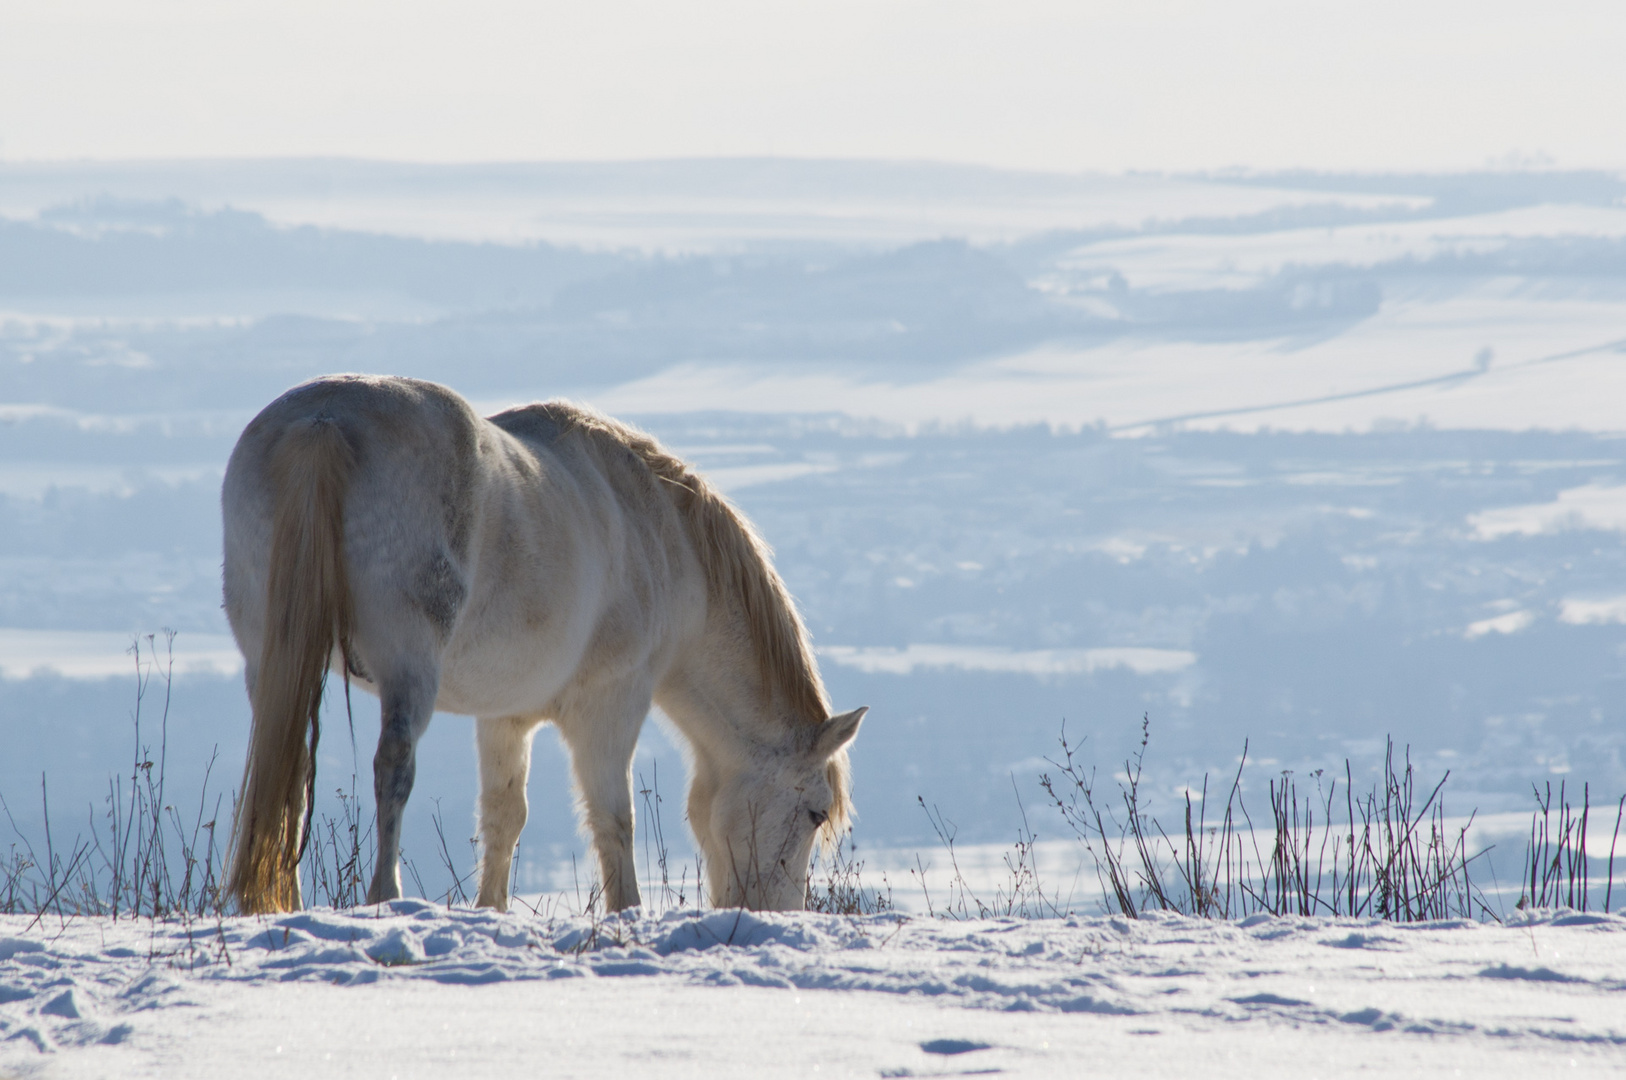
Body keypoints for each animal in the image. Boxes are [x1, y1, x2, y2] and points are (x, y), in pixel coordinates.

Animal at [226, 375, 878, 917]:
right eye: (815, 811)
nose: (772, 912)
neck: (664, 539)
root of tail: (324, 422)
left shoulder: (505, 716)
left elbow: (503, 818)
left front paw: (490, 912)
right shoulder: (611, 705)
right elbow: (614, 819)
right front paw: (625, 913)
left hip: (271, 665)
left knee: (286, 775)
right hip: (408, 668)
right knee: (393, 766)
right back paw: (385, 898)